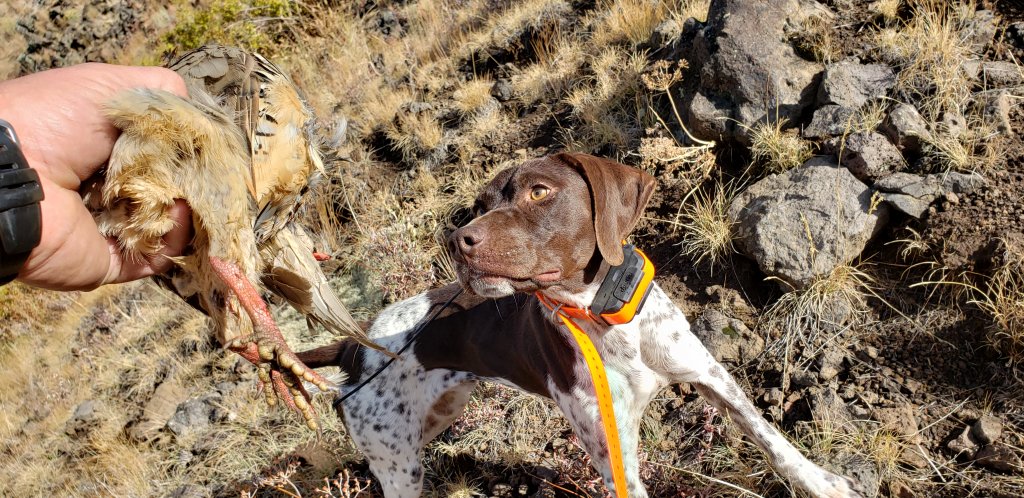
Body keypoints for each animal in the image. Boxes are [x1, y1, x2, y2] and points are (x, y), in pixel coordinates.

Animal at [299, 152, 864, 498]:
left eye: (538, 192)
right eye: (479, 207)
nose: (457, 241)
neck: (603, 316)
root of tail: (353, 347)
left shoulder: (708, 374)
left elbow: (772, 439)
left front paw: (824, 482)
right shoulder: (614, 455)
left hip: (436, 418)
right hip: (397, 462)